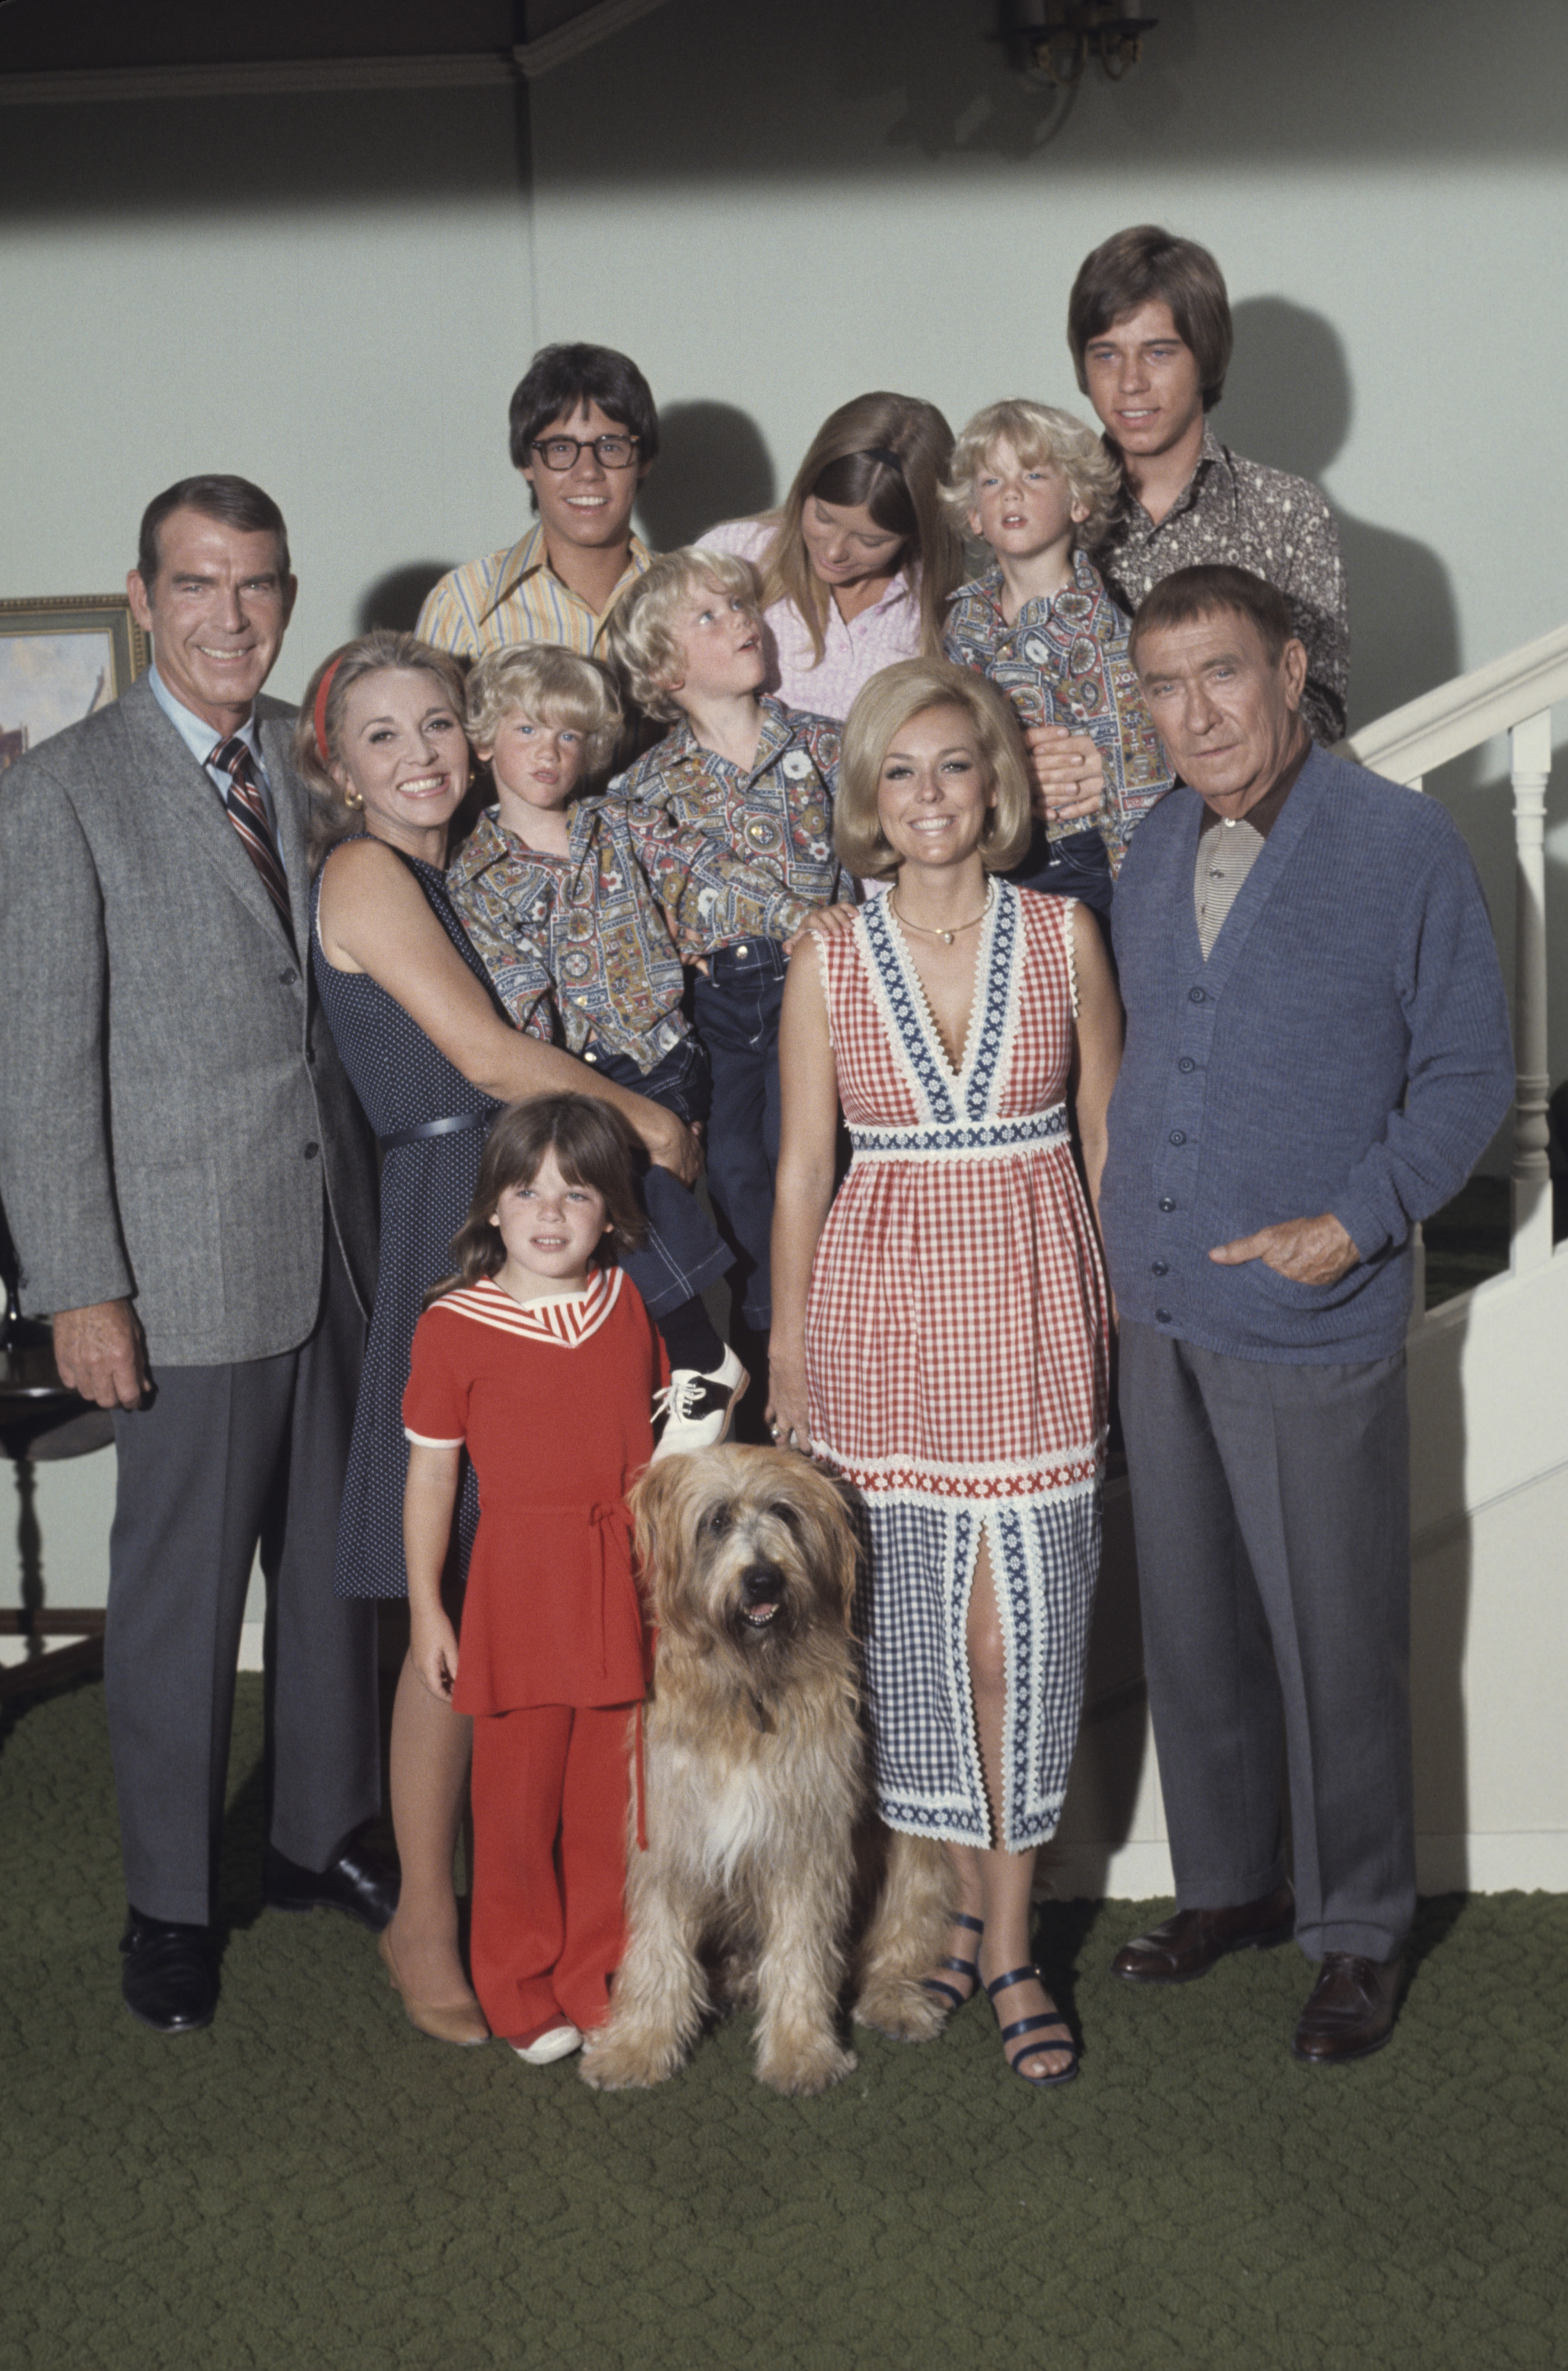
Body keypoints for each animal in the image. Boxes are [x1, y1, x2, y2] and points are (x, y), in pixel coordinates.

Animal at [574, 1441, 944, 2096]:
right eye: (717, 1520)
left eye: (784, 1513)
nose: (763, 1578)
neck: (748, 1687)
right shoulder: (671, 1834)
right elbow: (655, 1950)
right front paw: (636, 2046)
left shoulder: (806, 1840)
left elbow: (800, 1951)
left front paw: (800, 2051)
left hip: (909, 1845)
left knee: (901, 1933)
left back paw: (894, 1998)